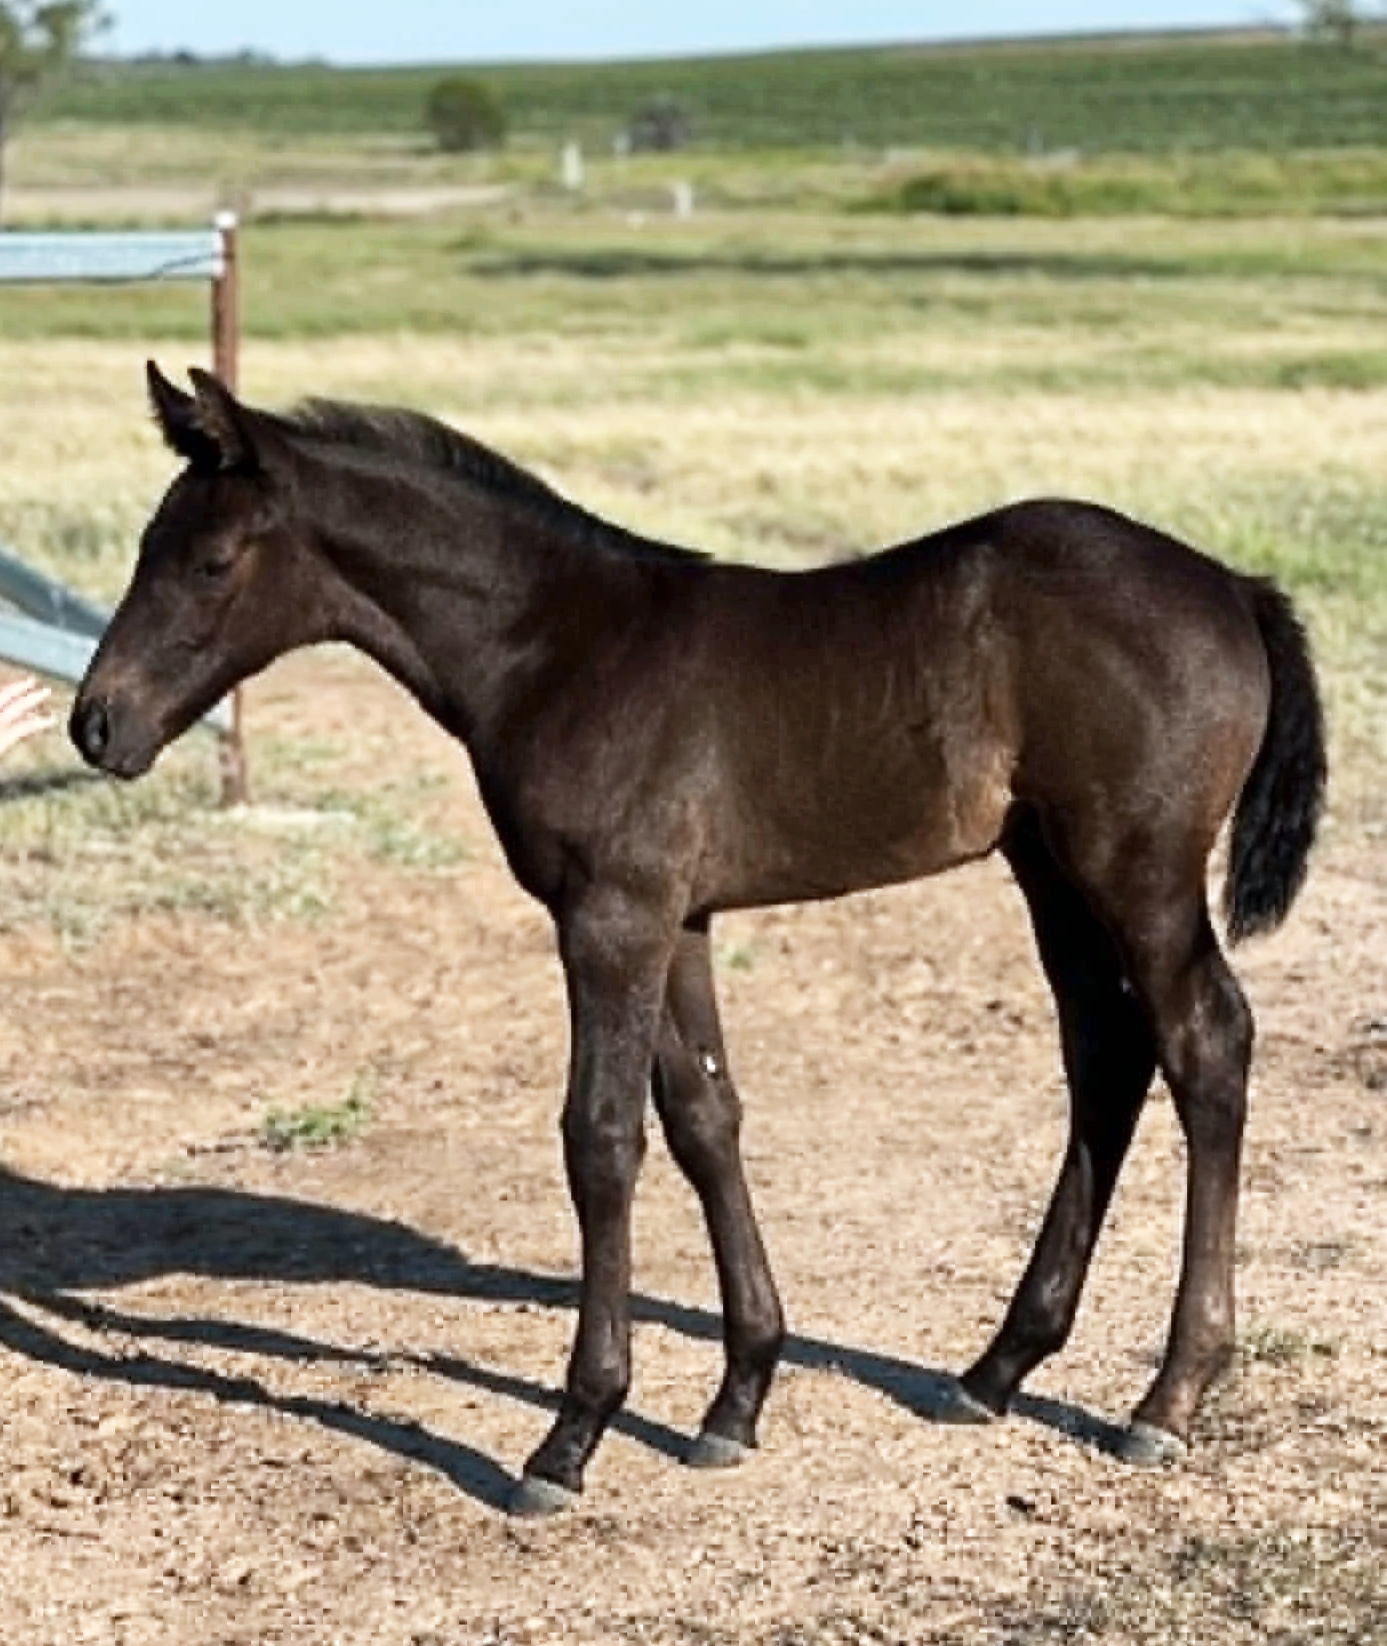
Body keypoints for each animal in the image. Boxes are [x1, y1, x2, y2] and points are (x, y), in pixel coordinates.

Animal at [71, 364, 1326, 1515]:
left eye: (211, 560)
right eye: (146, 544)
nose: (97, 723)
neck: (555, 648)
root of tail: (1231, 583)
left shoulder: (609, 917)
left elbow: (600, 1138)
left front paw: (571, 1433)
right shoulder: (677, 919)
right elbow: (703, 1118)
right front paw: (737, 1397)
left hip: (1137, 866)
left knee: (1204, 1039)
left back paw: (1166, 1395)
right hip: (1048, 867)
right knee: (1105, 1053)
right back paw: (996, 1365)